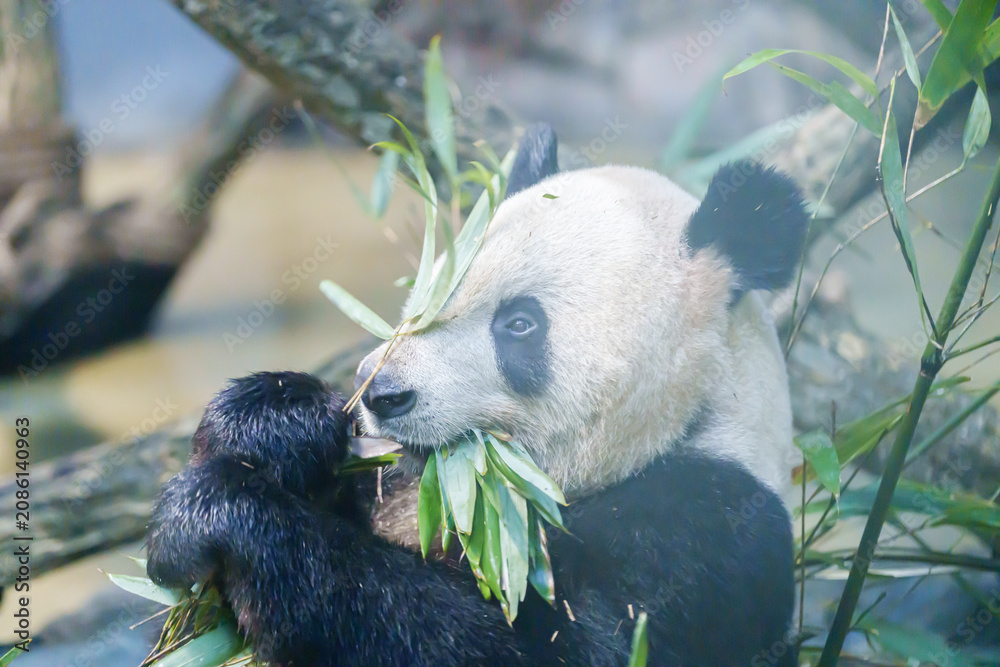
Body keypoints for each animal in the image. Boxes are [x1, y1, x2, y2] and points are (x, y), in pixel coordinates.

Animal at [147, 124, 807, 666]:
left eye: (520, 324)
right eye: (428, 291)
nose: (382, 392)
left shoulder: (706, 533)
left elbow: (550, 645)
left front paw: (216, 515)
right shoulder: (390, 487)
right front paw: (275, 422)